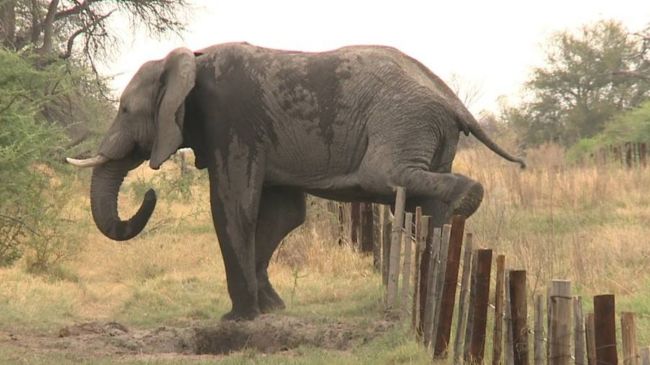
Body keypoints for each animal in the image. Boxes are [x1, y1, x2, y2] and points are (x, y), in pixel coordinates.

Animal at [67, 42, 520, 320]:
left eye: (125, 111)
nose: (149, 192)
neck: (188, 60)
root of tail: (451, 99)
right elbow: (284, 216)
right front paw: (272, 309)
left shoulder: (231, 120)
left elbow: (232, 205)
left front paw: (238, 318)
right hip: (425, 127)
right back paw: (449, 219)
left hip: (402, 119)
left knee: (385, 175)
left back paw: (467, 198)